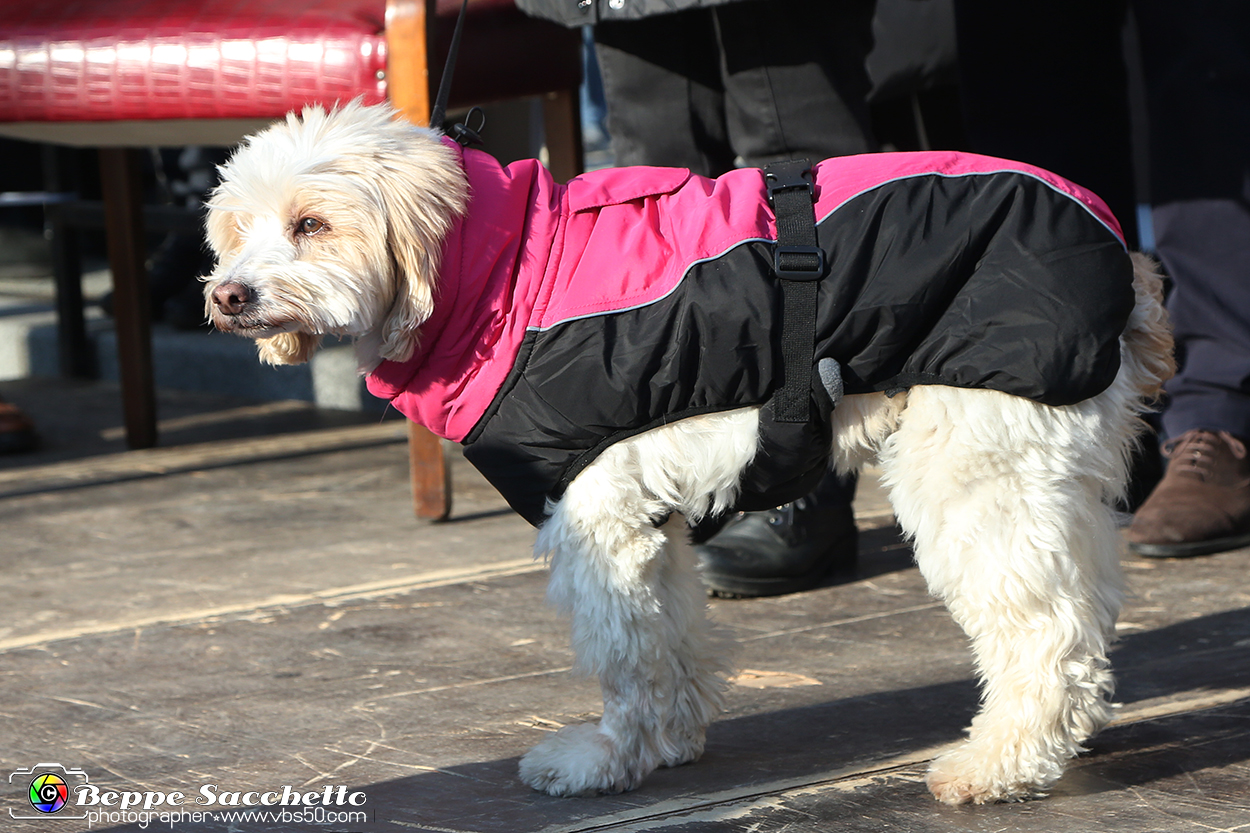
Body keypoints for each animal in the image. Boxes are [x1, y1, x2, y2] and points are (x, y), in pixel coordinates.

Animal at [202, 100, 1170, 800]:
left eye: (312, 223)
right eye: (238, 229)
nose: (226, 294)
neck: (511, 273)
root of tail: (1114, 240)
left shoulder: (595, 514)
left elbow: (623, 649)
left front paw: (607, 760)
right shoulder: (642, 510)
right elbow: (663, 633)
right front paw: (665, 742)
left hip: (979, 471)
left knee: (1045, 632)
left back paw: (997, 764)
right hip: (1044, 472)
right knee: (1085, 611)